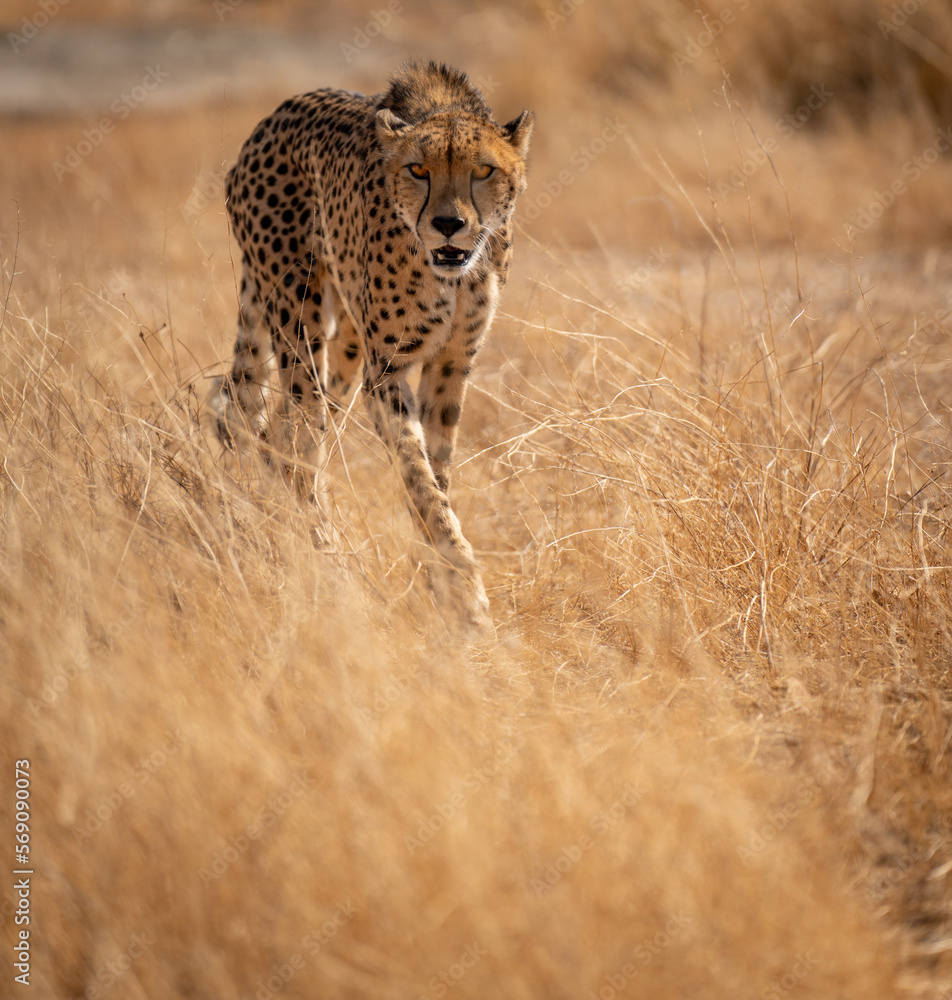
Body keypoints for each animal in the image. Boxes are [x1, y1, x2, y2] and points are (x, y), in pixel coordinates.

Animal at [208, 61, 534, 626]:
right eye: (418, 170)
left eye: (484, 171)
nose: (449, 224)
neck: (451, 274)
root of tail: (267, 123)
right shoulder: (387, 369)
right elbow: (418, 476)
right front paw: (464, 590)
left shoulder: (452, 365)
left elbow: (437, 474)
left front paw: (439, 580)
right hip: (297, 316)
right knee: (293, 438)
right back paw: (326, 558)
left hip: (344, 350)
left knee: (288, 436)